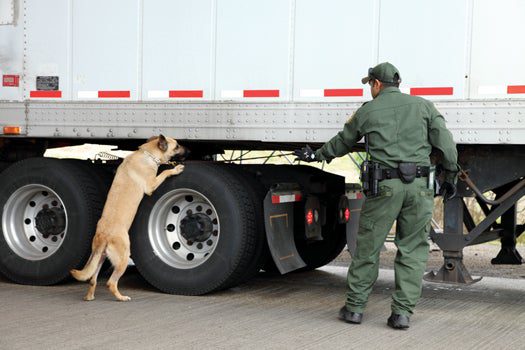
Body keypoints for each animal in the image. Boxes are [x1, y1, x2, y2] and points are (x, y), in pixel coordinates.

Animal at [70, 134, 186, 300]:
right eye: (176, 146)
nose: (188, 150)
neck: (147, 154)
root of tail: (104, 236)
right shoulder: (151, 184)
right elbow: (164, 173)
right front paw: (175, 169)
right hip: (123, 258)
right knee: (110, 283)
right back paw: (121, 297)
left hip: (100, 258)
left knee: (92, 279)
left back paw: (89, 297)